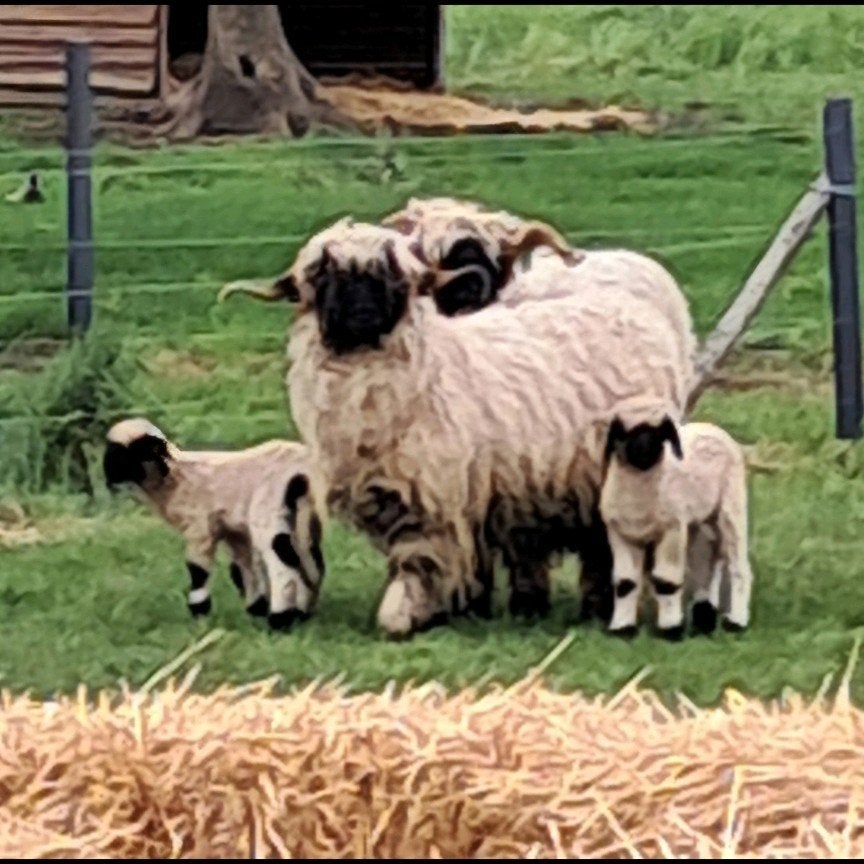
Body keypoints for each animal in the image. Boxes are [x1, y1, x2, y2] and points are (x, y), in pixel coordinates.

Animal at [103, 418, 326, 630]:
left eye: (126, 454)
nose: (110, 478)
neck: (174, 479)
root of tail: (302, 471)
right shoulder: (233, 531)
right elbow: (244, 568)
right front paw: (256, 610)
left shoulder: (199, 528)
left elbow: (198, 572)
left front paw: (200, 616)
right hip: (303, 516)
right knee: (310, 561)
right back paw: (301, 614)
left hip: (268, 509)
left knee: (283, 566)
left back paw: (280, 621)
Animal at [221, 219, 690, 637]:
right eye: (322, 275)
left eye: (394, 277)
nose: (361, 313)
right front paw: (457, 610)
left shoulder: (431, 501)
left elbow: (419, 567)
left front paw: (408, 615)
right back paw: (534, 606)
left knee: (599, 548)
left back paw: (595, 606)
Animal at [599, 411, 753, 640]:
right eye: (624, 435)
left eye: (658, 435)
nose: (644, 452)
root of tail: (712, 428)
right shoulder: (621, 535)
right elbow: (625, 582)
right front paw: (623, 628)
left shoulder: (671, 529)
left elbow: (666, 581)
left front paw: (671, 629)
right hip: (699, 519)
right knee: (709, 561)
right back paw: (705, 615)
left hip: (731, 504)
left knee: (737, 565)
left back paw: (736, 621)